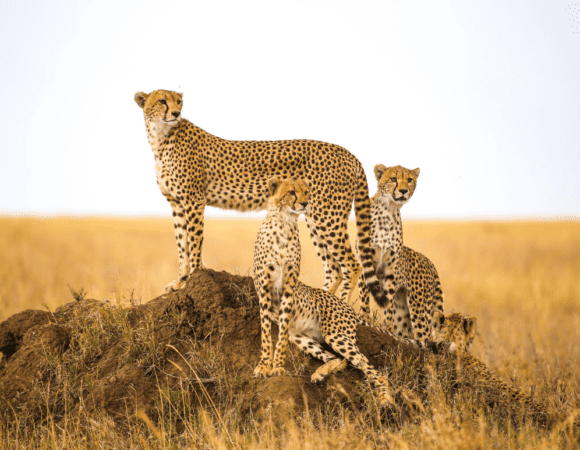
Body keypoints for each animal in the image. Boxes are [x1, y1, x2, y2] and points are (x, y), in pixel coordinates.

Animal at [135, 89, 386, 306]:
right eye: (162, 101)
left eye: (179, 102)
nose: (176, 113)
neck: (161, 138)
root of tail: (348, 153)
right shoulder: (177, 203)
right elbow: (182, 245)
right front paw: (180, 281)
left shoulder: (193, 200)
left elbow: (194, 241)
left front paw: (192, 277)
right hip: (314, 216)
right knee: (334, 268)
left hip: (327, 216)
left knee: (352, 265)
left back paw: (340, 305)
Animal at [358, 163, 444, 340]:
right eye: (393, 179)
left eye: (409, 180)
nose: (403, 191)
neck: (388, 211)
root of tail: (430, 262)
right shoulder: (365, 264)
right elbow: (364, 298)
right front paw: (364, 318)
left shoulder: (389, 271)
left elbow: (388, 304)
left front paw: (387, 327)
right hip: (406, 310)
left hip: (419, 307)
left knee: (425, 336)